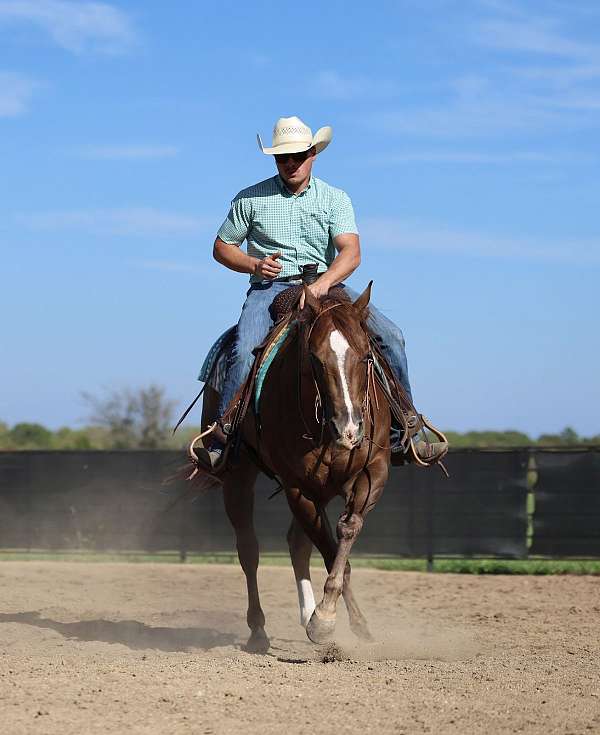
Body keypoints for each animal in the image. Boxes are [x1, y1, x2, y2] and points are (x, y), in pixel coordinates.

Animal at [193, 283, 391, 653]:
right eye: (314, 358)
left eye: (366, 356)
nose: (349, 428)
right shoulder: (297, 486)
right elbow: (330, 553)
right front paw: (324, 621)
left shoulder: (374, 470)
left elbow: (346, 532)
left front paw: (353, 623)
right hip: (239, 476)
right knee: (249, 549)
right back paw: (259, 631)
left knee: (297, 542)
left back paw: (306, 613)